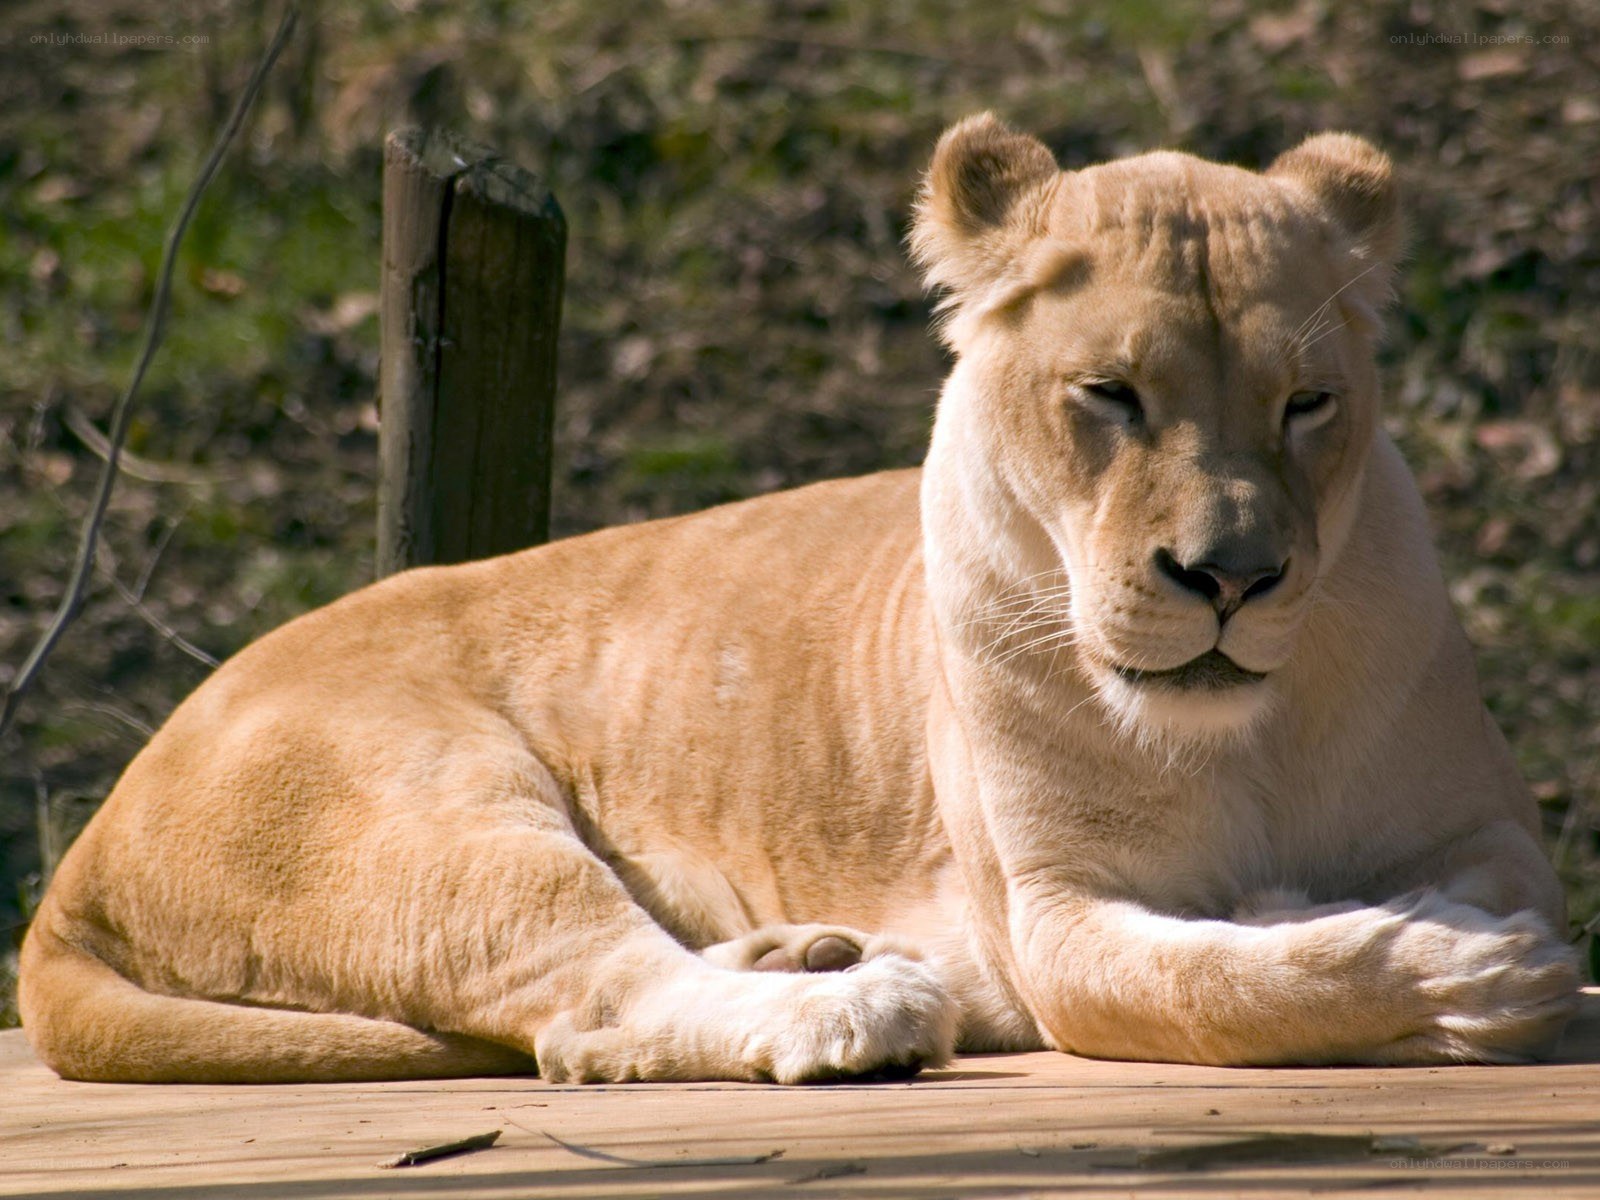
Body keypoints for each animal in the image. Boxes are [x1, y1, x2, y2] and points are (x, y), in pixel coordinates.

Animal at [20, 116, 1578, 1083]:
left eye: (1306, 404)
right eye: (1110, 397)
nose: (1232, 578)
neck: (1239, 737)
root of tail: (82, 852)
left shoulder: (1487, 825)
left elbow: (1433, 896)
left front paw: (1350, 913)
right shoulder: (1055, 916)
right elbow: (1231, 986)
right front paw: (1466, 977)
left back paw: (818, 953)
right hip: (436, 813)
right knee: (592, 1005)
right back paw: (864, 1005)